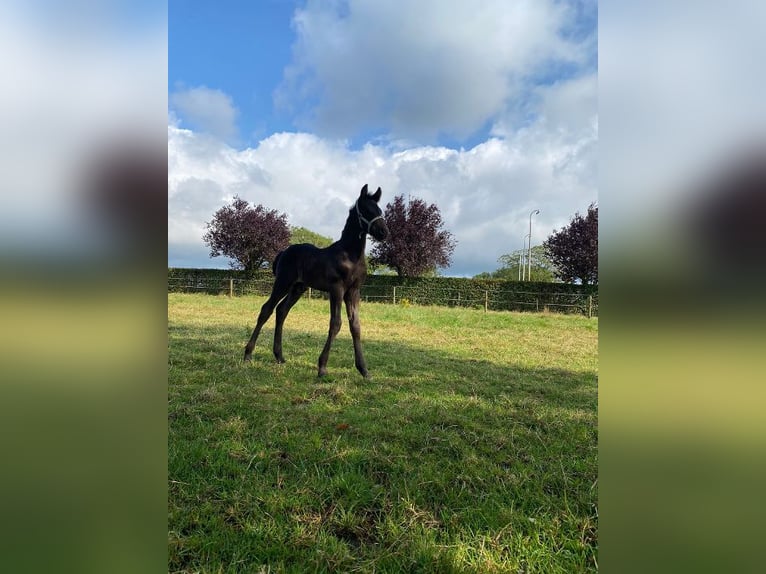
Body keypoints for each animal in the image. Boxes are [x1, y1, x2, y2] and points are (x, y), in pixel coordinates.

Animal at [244, 184, 390, 380]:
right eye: (366, 210)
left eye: (380, 210)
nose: (384, 232)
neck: (351, 256)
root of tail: (283, 252)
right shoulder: (337, 289)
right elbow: (336, 323)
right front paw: (322, 367)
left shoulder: (354, 291)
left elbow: (355, 326)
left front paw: (364, 370)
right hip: (283, 282)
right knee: (266, 309)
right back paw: (248, 354)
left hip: (298, 288)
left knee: (281, 310)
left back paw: (279, 356)